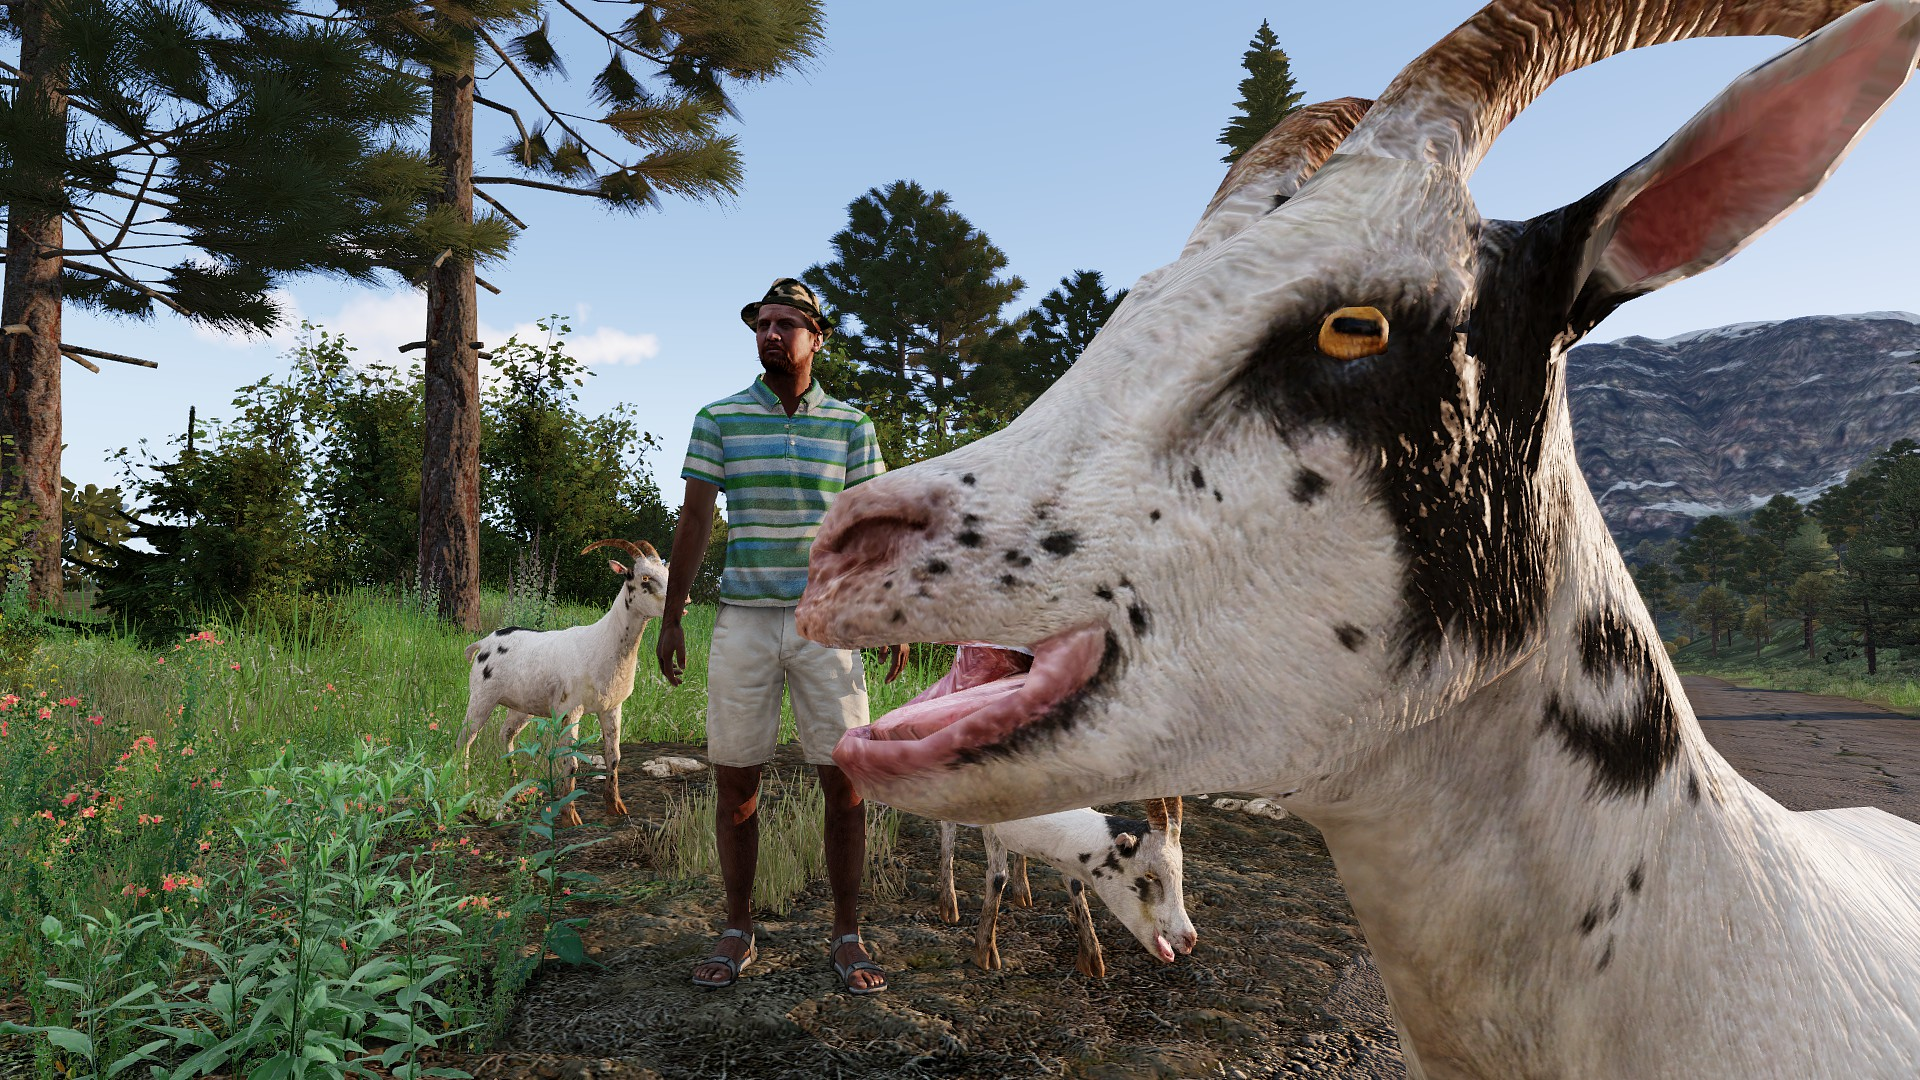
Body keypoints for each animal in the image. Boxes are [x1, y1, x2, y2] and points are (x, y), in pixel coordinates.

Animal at [457, 539, 668, 827]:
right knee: (465, 739)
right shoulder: (571, 709)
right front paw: (571, 816)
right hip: (481, 696)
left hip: (522, 707)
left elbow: (614, 757)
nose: (683, 601)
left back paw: (515, 791)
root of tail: (482, 643)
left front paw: (616, 807)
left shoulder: (612, 707)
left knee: (505, 734)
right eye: (643, 577)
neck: (602, 642)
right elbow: (571, 761)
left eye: (666, 572)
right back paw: (463, 790)